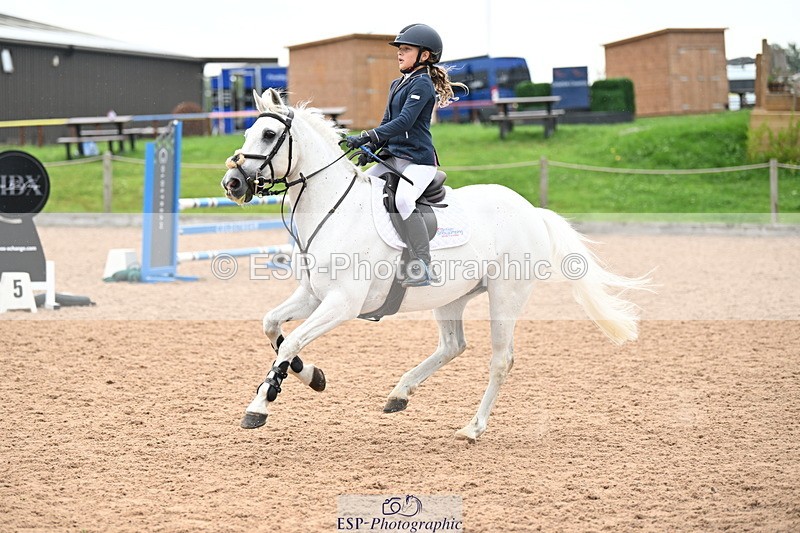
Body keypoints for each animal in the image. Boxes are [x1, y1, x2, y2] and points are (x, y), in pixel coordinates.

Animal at [220, 88, 650, 442]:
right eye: (247, 133)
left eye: (269, 135)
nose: (232, 183)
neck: (334, 210)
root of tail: (530, 210)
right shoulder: (313, 294)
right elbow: (273, 327)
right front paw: (312, 376)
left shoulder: (342, 303)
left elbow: (291, 339)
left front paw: (260, 405)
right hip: (451, 298)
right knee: (453, 345)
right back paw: (399, 394)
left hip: (505, 296)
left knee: (500, 360)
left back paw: (473, 428)